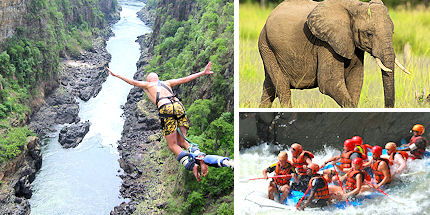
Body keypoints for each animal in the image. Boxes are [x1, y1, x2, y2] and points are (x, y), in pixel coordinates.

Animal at [258, 0, 410, 107]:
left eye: (393, 32)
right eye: (369, 34)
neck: (355, 7)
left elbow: (356, 80)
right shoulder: (326, 43)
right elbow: (329, 82)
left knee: (269, 87)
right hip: (267, 46)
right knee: (283, 88)